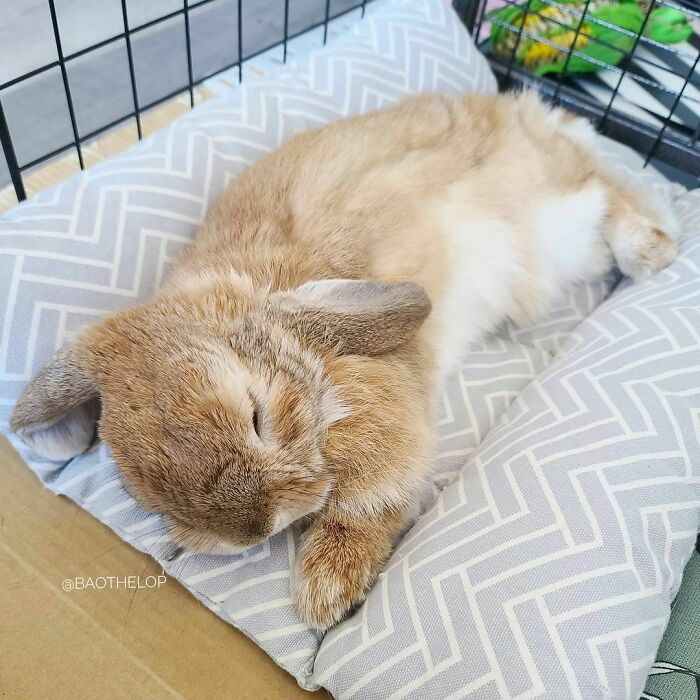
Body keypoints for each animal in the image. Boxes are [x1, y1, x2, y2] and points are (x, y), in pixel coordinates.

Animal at [10, 91, 678, 629]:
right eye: (144, 494)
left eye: (256, 416)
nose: (258, 529)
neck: (311, 372)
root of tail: (516, 109)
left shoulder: (386, 418)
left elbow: (371, 501)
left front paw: (325, 593)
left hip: (560, 212)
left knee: (607, 188)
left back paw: (653, 252)